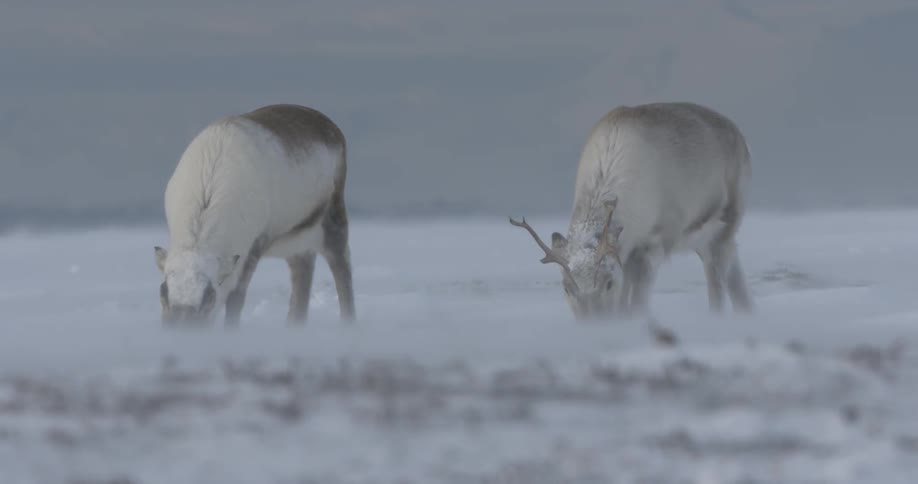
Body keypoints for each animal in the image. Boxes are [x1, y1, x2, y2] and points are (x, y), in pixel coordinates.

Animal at [154, 104, 355, 325]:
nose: (181, 327)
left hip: (333, 220)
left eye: (210, 296)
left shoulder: (252, 247)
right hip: (296, 239)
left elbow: (235, 299)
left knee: (342, 268)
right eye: (163, 291)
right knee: (302, 271)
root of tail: (332, 127)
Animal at [510, 102, 753, 321]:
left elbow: (636, 304)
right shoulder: (625, 255)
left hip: (723, 226)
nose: (593, 324)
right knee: (734, 277)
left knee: (718, 283)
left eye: (608, 283)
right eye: (566, 288)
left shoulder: (650, 246)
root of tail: (739, 136)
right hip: (703, 241)